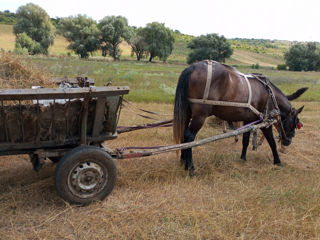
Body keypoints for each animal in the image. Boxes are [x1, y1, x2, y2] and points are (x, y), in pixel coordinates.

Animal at [174, 60, 306, 174]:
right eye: (294, 122)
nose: (288, 141)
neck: (270, 94)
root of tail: (193, 67)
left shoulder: (249, 120)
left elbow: (246, 140)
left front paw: (243, 158)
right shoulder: (265, 122)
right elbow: (272, 142)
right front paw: (277, 161)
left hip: (187, 113)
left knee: (183, 134)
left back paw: (183, 161)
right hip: (200, 116)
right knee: (189, 136)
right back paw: (191, 168)